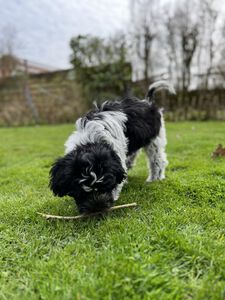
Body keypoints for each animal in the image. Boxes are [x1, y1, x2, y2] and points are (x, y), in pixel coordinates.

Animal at [50, 81, 175, 214]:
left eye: (105, 187)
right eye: (81, 192)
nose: (97, 209)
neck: (91, 140)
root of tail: (147, 101)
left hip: (154, 140)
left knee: (157, 160)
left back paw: (156, 178)